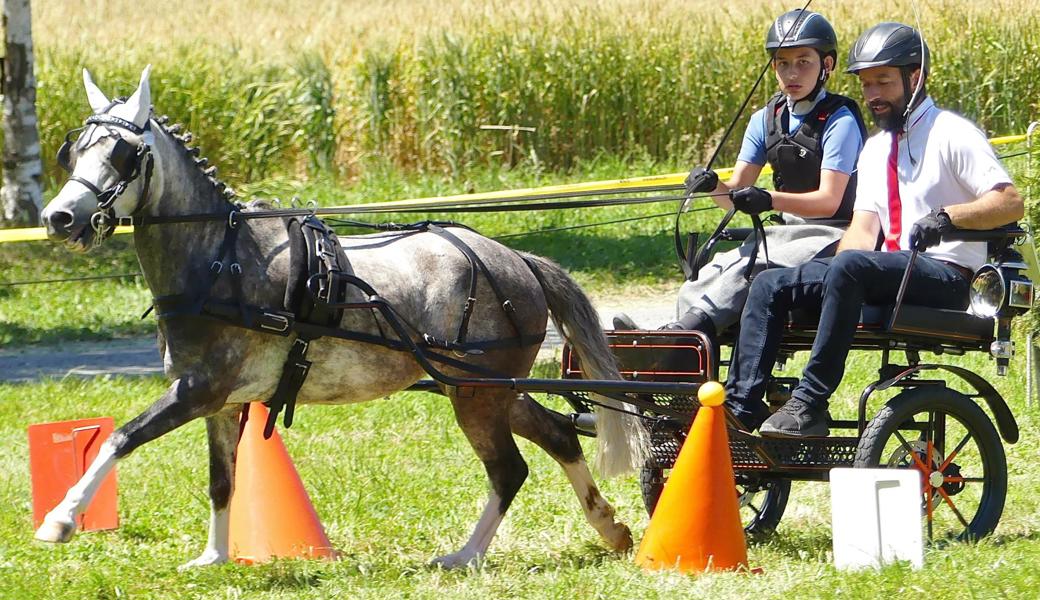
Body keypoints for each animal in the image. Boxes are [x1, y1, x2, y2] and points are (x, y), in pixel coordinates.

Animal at [36, 67, 644, 569]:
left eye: (122, 154)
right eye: (74, 150)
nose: (59, 217)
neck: (220, 259)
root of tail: (518, 259)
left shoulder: (199, 390)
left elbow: (120, 439)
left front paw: (61, 519)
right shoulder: (221, 403)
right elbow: (221, 481)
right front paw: (213, 558)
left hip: (477, 395)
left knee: (509, 468)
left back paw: (466, 556)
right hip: (487, 389)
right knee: (558, 435)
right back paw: (610, 529)